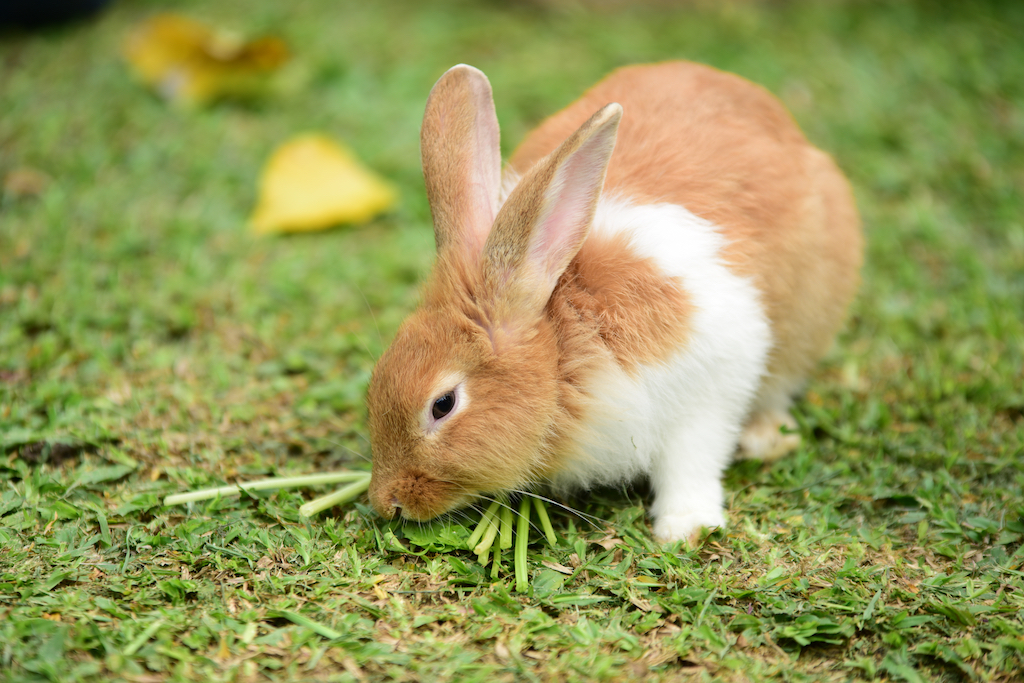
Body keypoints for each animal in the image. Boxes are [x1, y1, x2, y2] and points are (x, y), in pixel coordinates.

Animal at [364, 63, 860, 544]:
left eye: (442, 404)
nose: (389, 503)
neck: (564, 345)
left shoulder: (711, 382)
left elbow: (693, 461)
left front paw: (685, 528)